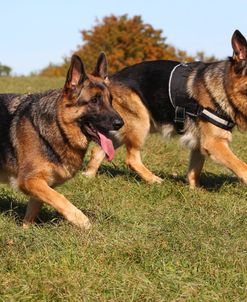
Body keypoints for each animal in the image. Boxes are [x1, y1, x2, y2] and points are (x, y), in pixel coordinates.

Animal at [0, 52, 123, 229]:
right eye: (94, 100)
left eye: (110, 100)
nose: (121, 123)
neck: (58, 126)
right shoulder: (29, 180)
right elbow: (59, 198)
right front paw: (82, 221)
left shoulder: (41, 184)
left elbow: (33, 209)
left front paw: (25, 230)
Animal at [84, 29, 247, 188]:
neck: (225, 85)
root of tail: (108, 80)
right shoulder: (214, 143)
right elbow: (242, 166)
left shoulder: (200, 144)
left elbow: (194, 171)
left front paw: (195, 191)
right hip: (140, 123)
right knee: (131, 159)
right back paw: (154, 180)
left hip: (121, 128)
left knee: (98, 150)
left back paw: (88, 176)